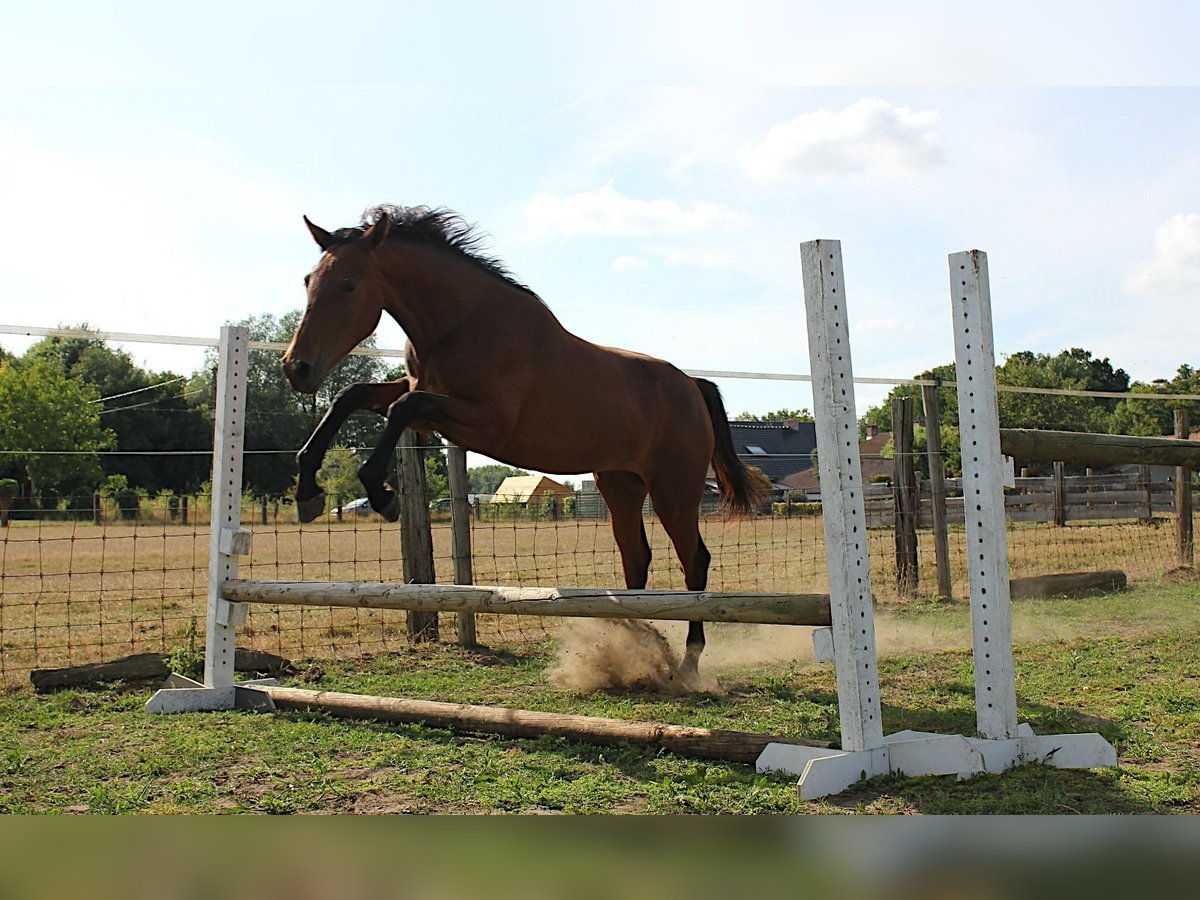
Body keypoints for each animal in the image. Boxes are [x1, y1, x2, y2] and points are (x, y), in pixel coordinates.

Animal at [282, 205, 763, 681]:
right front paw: (308, 492)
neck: (459, 324)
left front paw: (381, 494)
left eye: (349, 284)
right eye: (308, 281)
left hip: (673, 490)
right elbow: (352, 395)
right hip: (620, 484)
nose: (296, 368)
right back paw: (634, 647)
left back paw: (687, 663)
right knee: (636, 558)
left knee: (693, 560)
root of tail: (692, 386)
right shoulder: (425, 399)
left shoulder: (484, 421)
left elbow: (401, 405)